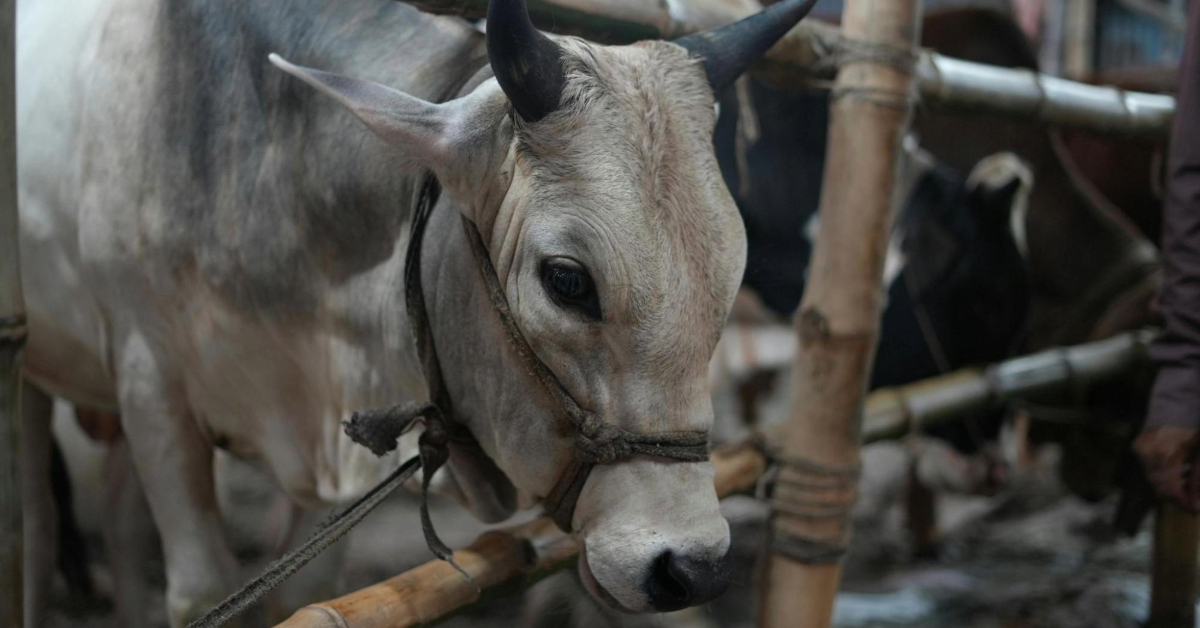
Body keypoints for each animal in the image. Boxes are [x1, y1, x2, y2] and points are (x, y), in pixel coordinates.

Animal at [16, 0, 827, 624]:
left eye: (731, 276)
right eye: (567, 281)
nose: (692, 568)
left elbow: (307, 592)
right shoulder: (152, 390)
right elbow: (198, 591)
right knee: (41, 522)